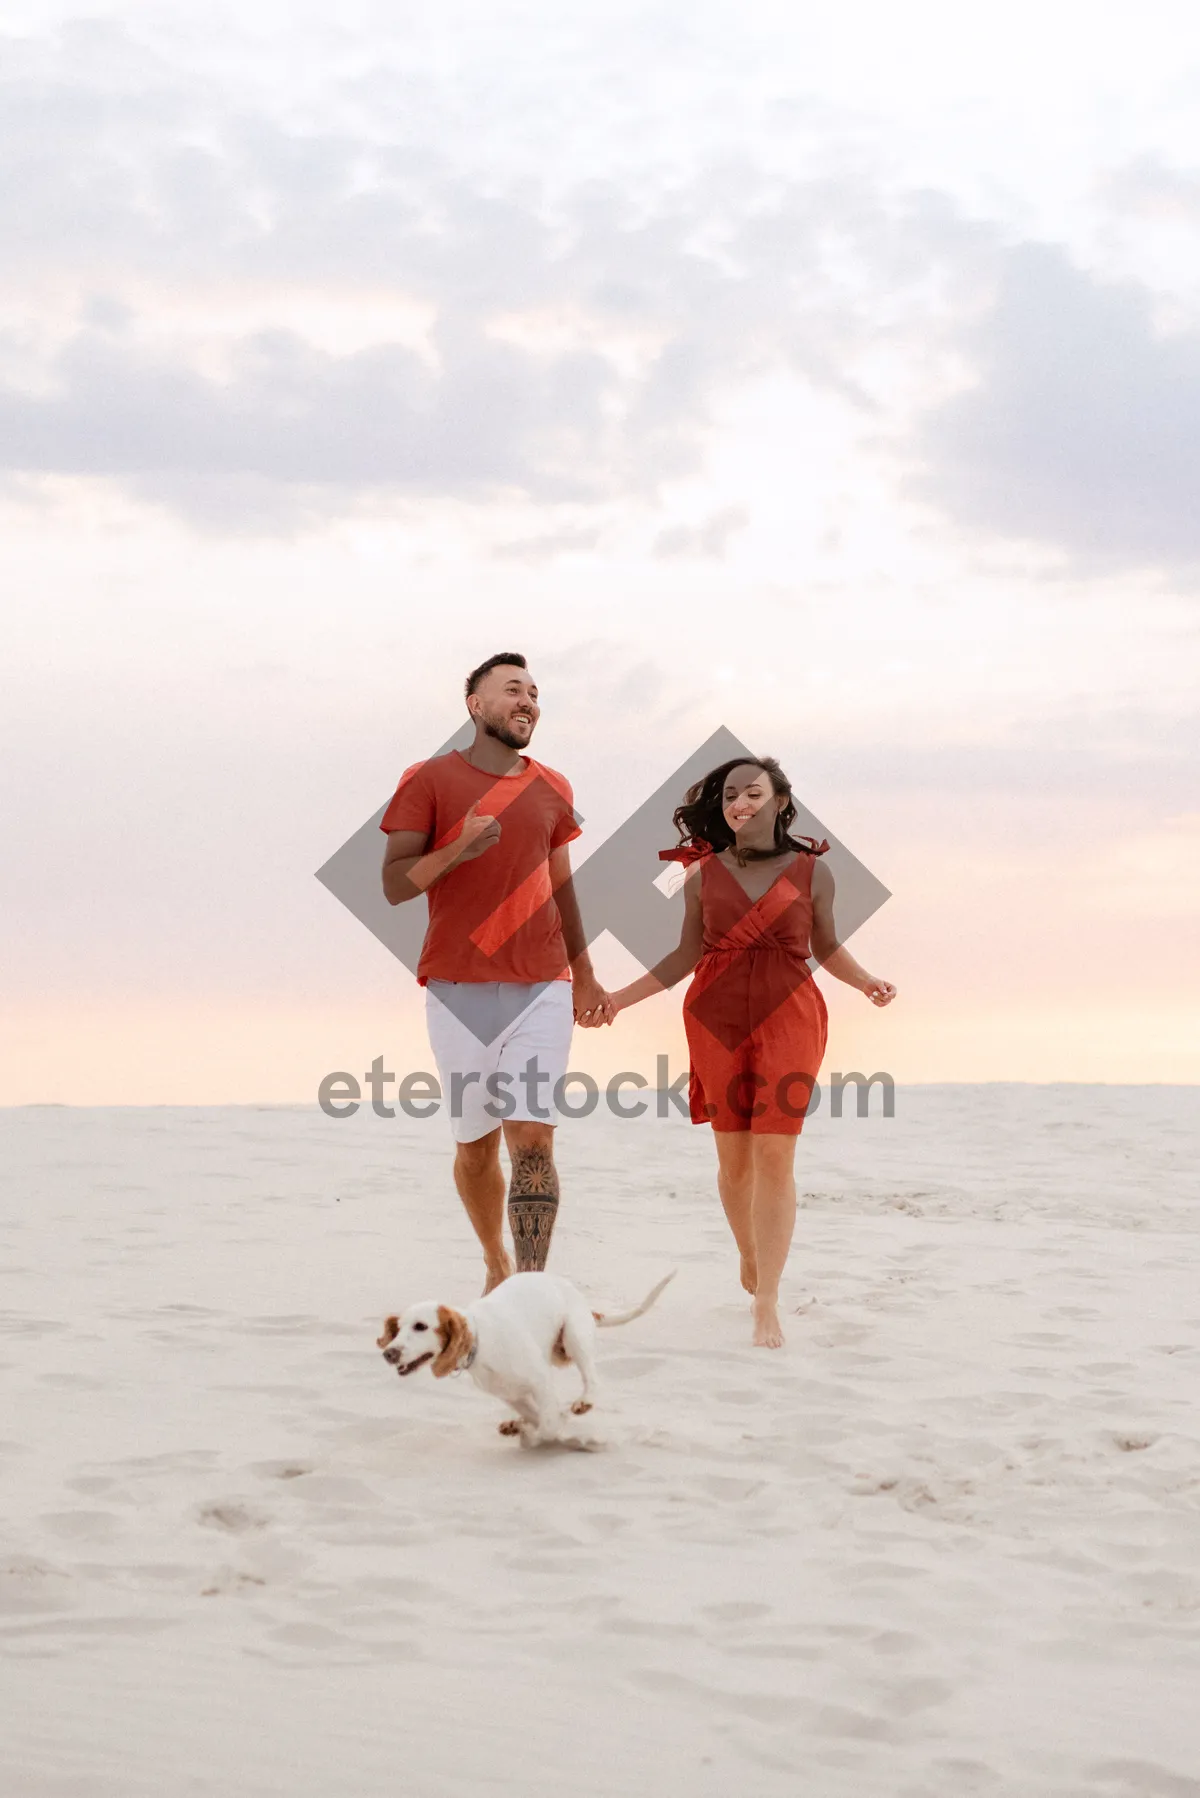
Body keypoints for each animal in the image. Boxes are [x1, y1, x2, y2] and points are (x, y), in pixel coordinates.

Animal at [377, 1265, 676, 1445]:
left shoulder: (540, 1380)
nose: (388, 1354)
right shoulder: (511, 1394)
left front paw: (534, 1434)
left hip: (574, 1337)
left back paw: (584, 1402)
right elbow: (537, 1415)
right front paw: (520, 1425)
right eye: (398, 1329)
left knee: (592, 1378)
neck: (482, 1342)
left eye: (421, 1326)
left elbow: (549, 1424)